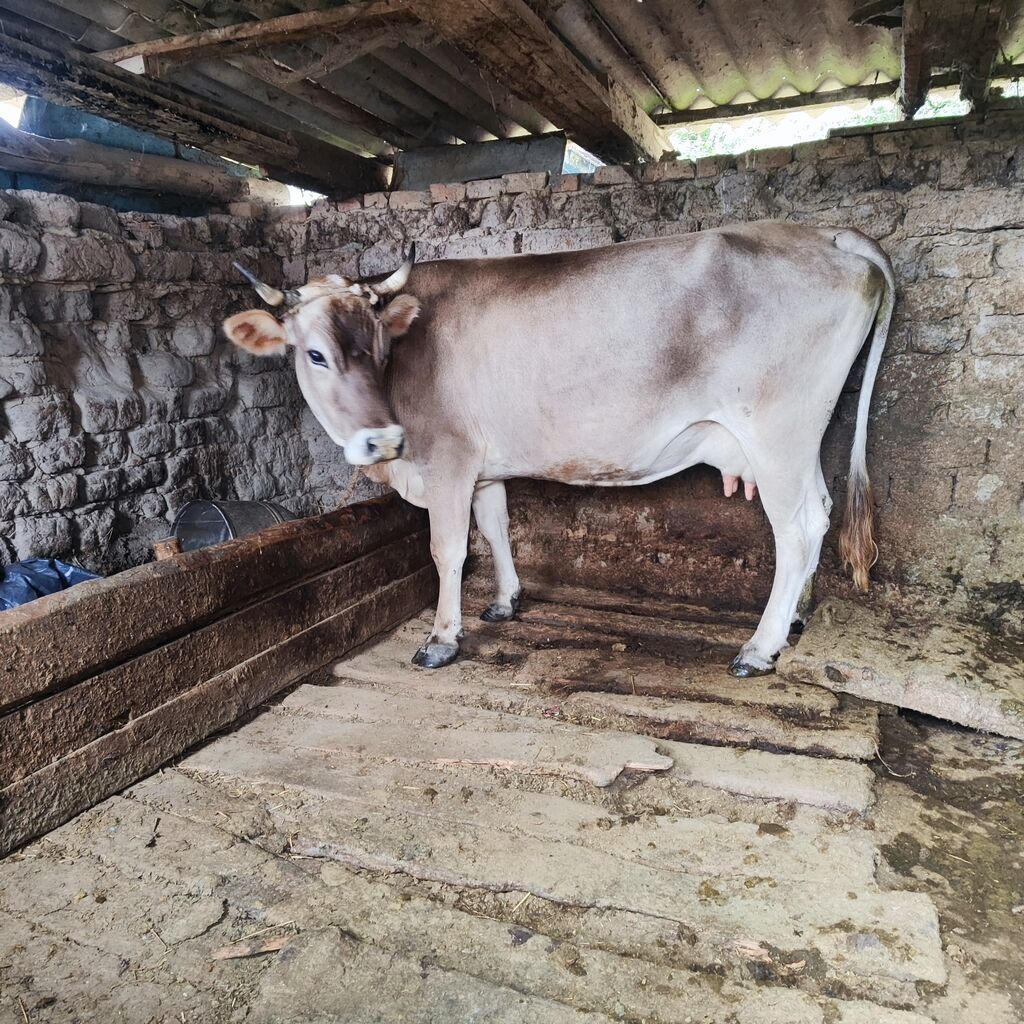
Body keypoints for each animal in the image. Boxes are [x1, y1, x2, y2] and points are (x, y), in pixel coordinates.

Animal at [224, 221, 894, 677]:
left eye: (383, 349)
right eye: (314, 353)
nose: (383, 438)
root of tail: (827, 235)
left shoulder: (447, 460)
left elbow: (448, 549)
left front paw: (442, 638)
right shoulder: (484, 467)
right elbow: (496, 528)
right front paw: (505, 601)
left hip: (778, 432)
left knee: (798, 528)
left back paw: (759, 647)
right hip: (802, 439)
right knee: (822, 510)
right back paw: (795, 619)